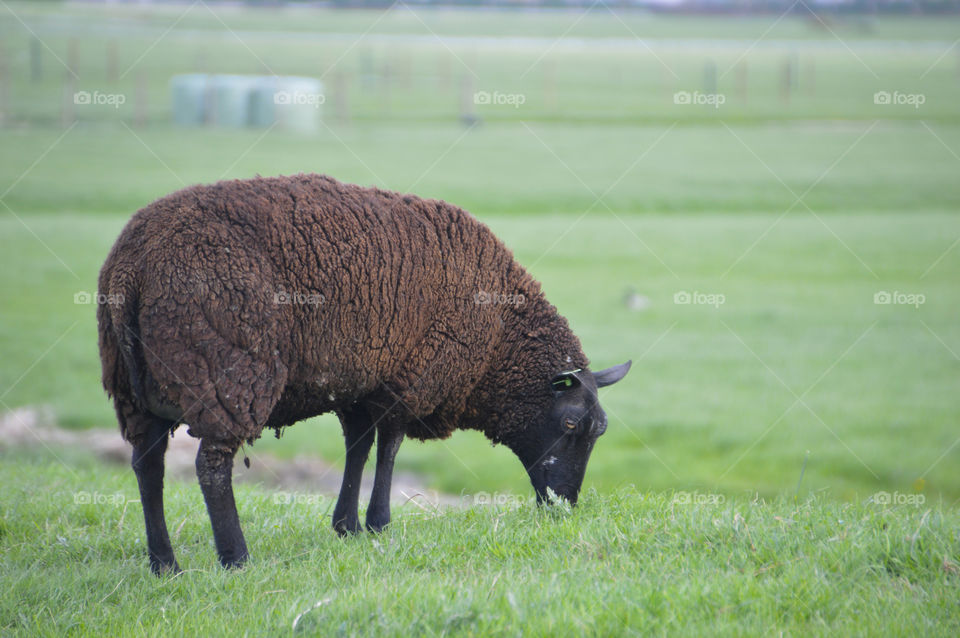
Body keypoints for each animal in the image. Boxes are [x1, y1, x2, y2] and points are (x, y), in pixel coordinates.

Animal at [97, 173, 631, 574]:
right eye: (569, 424)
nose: (564, 506)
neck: (500, 337)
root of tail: (134, 267)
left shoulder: (362, 382)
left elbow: (359, 446)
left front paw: (346, 526)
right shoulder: (411, 375)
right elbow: (390, 447)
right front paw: (378, 523)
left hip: (132, 391)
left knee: (147, 465)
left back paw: (164, 564)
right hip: (226, 373)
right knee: (210, 466)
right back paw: (236, 558)